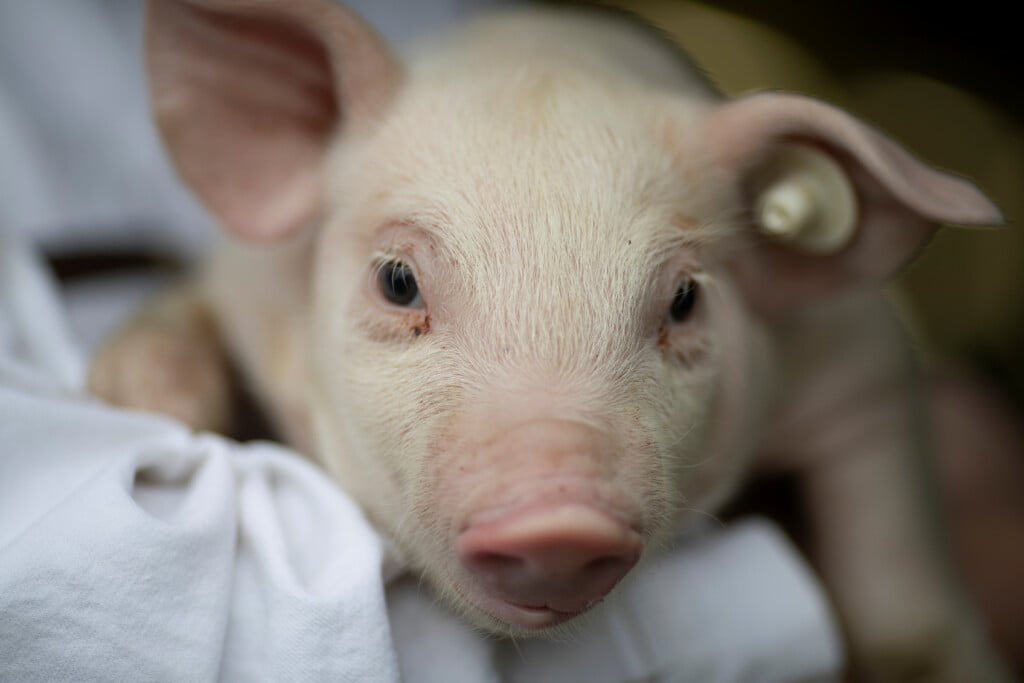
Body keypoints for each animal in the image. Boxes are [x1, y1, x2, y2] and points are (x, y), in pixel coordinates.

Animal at [89, 0, 1012, 680]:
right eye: (398, 280)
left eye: (684, 300)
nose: (556, 520)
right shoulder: (239, 279)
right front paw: (142, 397)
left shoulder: (865, 364)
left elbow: (900, 597)